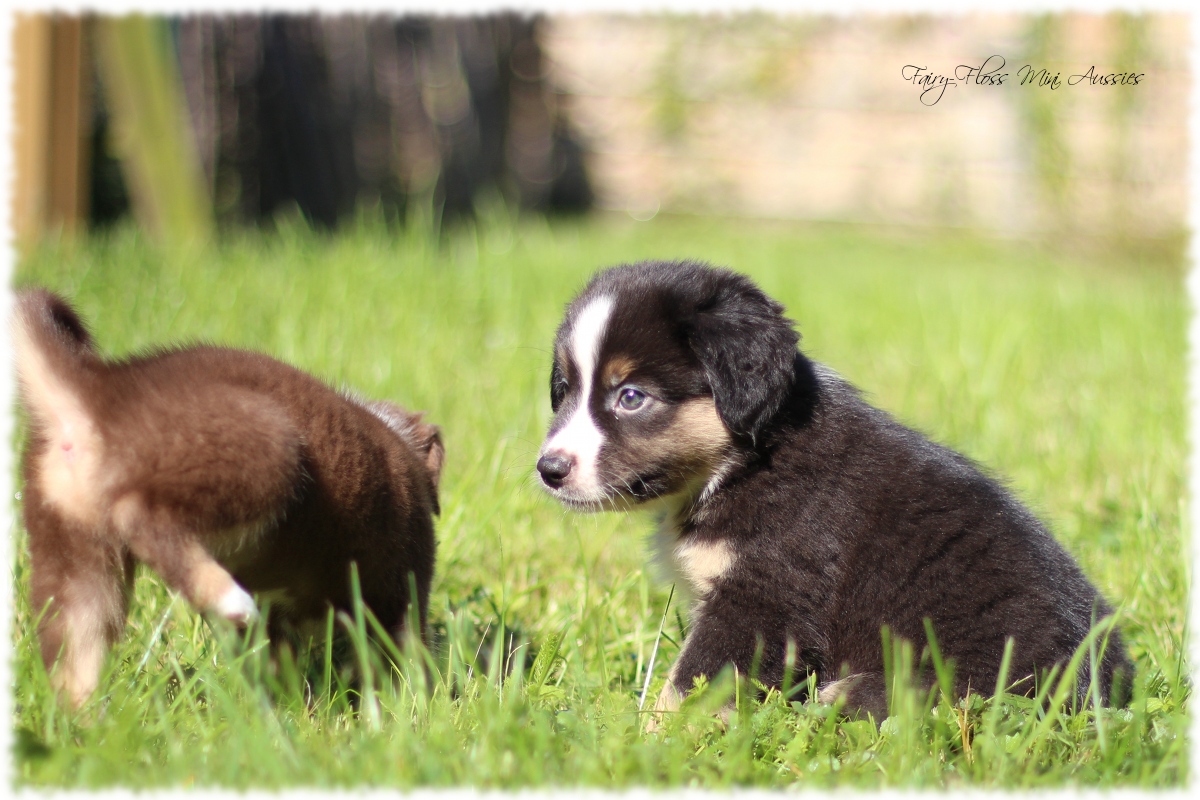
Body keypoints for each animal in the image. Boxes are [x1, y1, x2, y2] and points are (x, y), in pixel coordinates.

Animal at [11, 289, 444, 705]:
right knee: (139, 514)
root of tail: (95, 391)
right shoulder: (406, 583)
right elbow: (407, 657)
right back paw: (226, 597)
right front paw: (418, 706)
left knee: (74, 659)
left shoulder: (280, 618)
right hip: (265, 453)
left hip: (75, 555)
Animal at [537, 260, 1132, 724]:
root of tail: (1101, 694)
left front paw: (652, 742)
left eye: (631, 396)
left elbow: (689, 684)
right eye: (564, 390)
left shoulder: (760, 597)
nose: (548, 469)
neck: (745, 462)